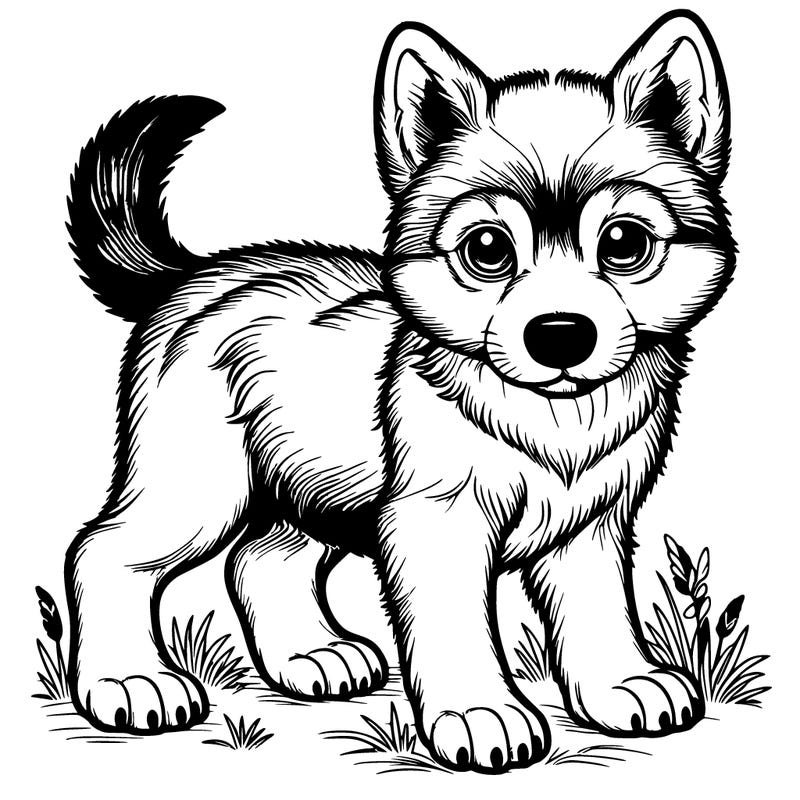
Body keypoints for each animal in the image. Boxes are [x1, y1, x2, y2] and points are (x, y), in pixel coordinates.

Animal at [64, 10, 733, 772]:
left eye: (624, 242)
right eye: (487, 249)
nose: (560, 335)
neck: (549, 419)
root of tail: (198, 274)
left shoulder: (590, 526)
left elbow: (599, 613)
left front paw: (621, 685)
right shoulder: (433, 523)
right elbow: (457, 627)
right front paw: (479, 713)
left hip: (307, 487)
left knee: (257, 561)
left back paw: (312, 655)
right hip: (199, 488)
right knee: (104, 552)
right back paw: (127, 680)